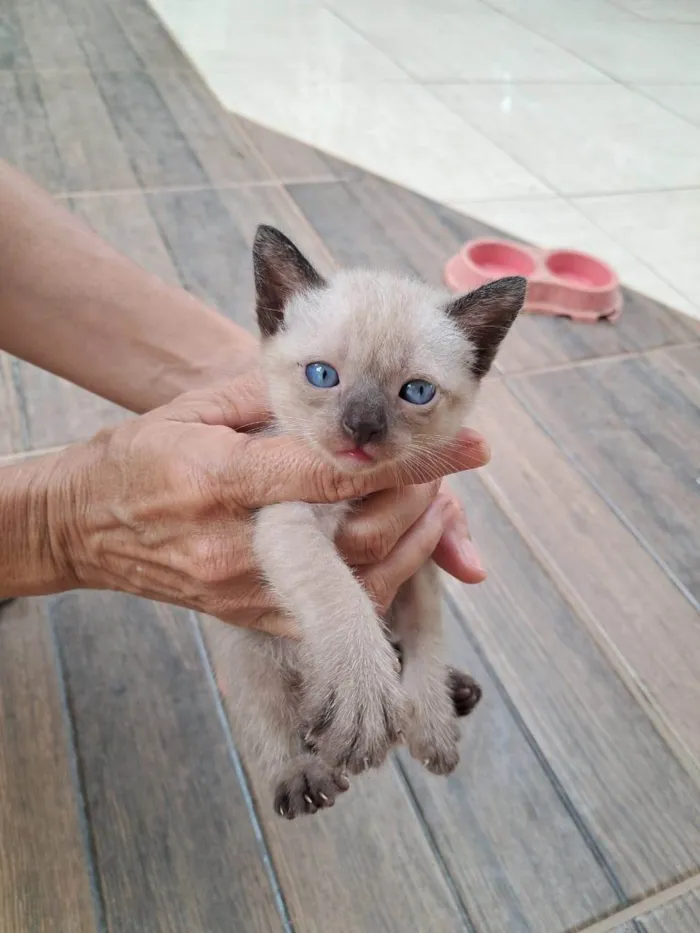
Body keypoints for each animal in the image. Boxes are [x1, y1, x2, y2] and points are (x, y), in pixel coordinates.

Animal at [224, 224, 524, 816]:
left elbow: (427, 635)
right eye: (322, 375)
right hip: (251, 651)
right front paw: (362, 699)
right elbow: (337, 589)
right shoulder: (287, 522)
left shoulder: (422, 558)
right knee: (270, 713)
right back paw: (302, 769)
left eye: (417, 391)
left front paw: (430, 721)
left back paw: (454, 692)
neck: (367, 491)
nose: (361, 427)